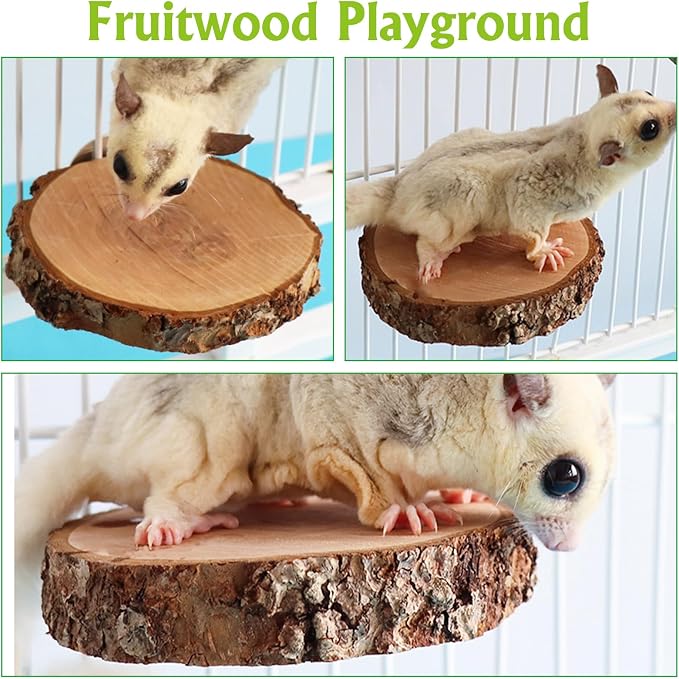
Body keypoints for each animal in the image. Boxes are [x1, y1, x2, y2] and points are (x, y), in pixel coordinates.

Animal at [16, 373, 615, 562]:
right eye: (564, 477)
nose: (571, 548)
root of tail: (97, 431)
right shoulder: (348, 416)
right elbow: (360, 467)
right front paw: (405, 510)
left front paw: (460, 497)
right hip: (197, 438)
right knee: (171, 488)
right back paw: (177, 523)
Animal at [346, 65, 676, 283]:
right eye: (650, 128)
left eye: (648, 91)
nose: (675, 109)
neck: (582, 136)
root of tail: (398, 188)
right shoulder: (536, 188)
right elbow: (527, 221)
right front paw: (543, 251)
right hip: (457, 201)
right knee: (428, 238)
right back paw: (433, 257)